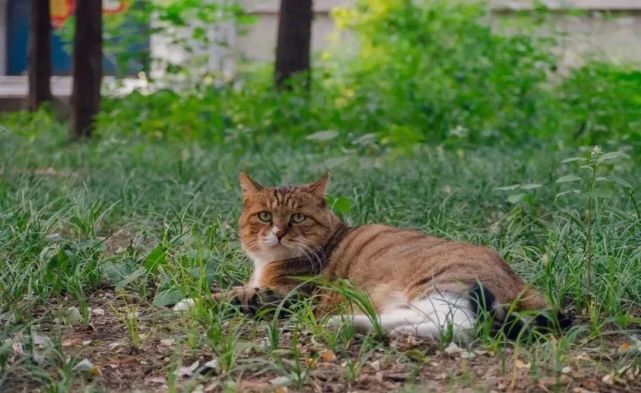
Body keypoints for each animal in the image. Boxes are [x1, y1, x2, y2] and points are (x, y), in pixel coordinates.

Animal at [178, 172, 568, 340]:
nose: (279, 232)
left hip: (443, 282)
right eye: (264, 216)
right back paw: (352, 323)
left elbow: (234, 295)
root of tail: (526, 288)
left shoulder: (288, 295)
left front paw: (188, 302)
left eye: (298, 218)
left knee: (460, 325)